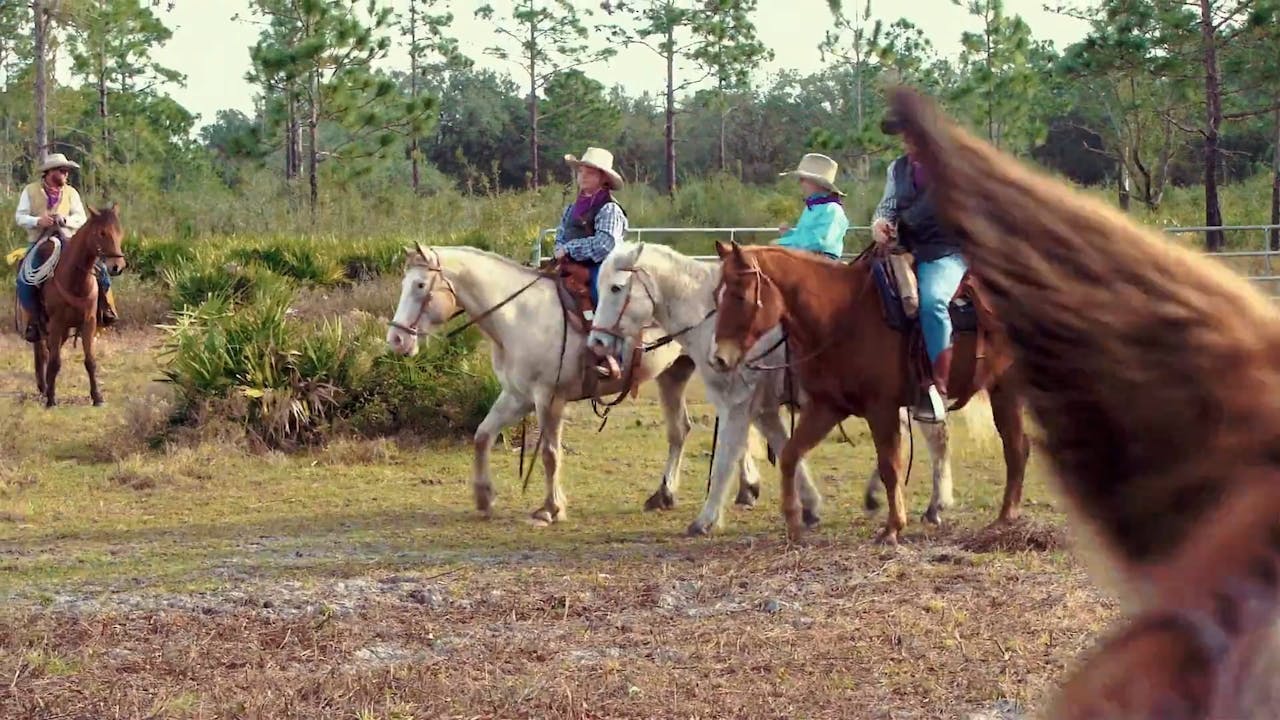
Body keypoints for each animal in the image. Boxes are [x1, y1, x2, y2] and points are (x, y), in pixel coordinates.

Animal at [28, 202, 124, 407]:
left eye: (119, 231)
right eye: (102, 233)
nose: (117, 267)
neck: (75, 280)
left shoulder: (89, 322)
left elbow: (90, 361)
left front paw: (97, 397)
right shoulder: (56, 324)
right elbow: (55, 361)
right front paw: (51, 399)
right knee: (42, 352)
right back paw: (43, 388)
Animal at [381, 243, 757, 525]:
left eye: (419, 286)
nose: (396, 339)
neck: (519, 315)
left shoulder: (549, 398)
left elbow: (549, 453)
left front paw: (551, 508)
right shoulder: (515, 396)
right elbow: (482, 436)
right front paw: (484, 497)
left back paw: (747, 488)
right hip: (672, 376)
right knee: (680, 431)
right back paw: (666, 495)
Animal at [586, 238, 957, 530]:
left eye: (616, 287)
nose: (597, 343)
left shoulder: (738, 405)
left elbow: (726, 458)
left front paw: (706, 519)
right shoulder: (761, 409)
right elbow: (782, 446)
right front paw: (809, 506)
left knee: (934, 436)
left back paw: (935, 505)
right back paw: (880, 495)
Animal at [706, 238, 1024, 540]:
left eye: (740, 296)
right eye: (716, 295)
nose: (719, 358)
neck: (841, 316)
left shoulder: (881, 409)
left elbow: (890, 466)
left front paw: (893, 528)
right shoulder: (827, 407)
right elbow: (789, 455)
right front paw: (795, 524)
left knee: (1011, 447)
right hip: (1004, 391)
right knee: (1017, 447)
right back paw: (1005, 517)